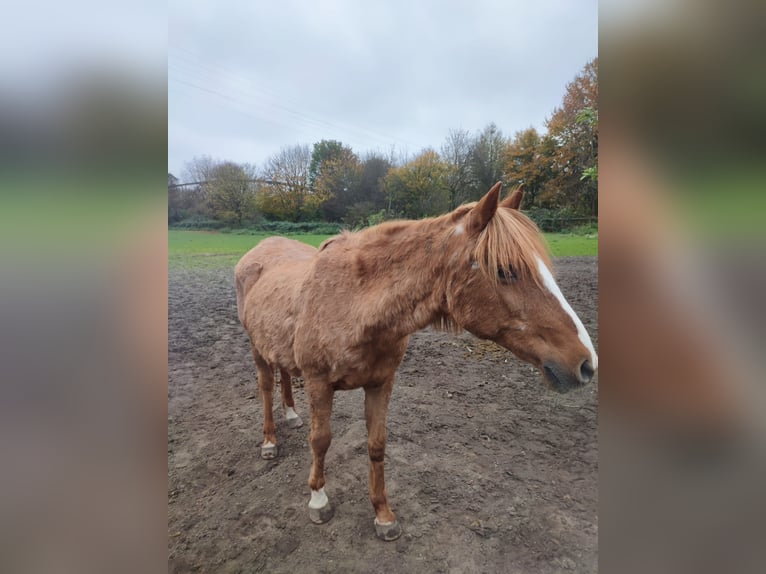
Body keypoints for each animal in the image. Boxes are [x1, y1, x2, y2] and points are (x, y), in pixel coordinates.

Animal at [234, 184, 600, 544]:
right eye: (505, 270)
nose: (587, 363)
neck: (353, 302)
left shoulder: (381, 383)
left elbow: (377, 445)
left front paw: (383, 515)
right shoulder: (318, 383)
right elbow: (320, 441)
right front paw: (318, 499)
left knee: (283, 373)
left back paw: (291, 415)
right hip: (256, 349)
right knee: (266, 387)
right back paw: (270, 442)